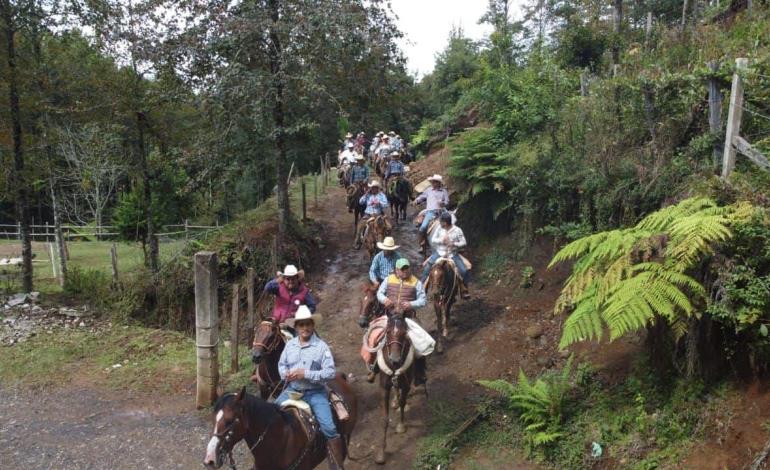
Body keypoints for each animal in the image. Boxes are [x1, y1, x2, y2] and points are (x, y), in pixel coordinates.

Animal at [374, 314, 414, 464]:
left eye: (404, 333)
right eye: (388, 332)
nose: (395, 359)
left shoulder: (406, 384)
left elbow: (403, 402)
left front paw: (401, 426)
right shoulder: (384, 388)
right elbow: (384, 419)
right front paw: (381, 453)